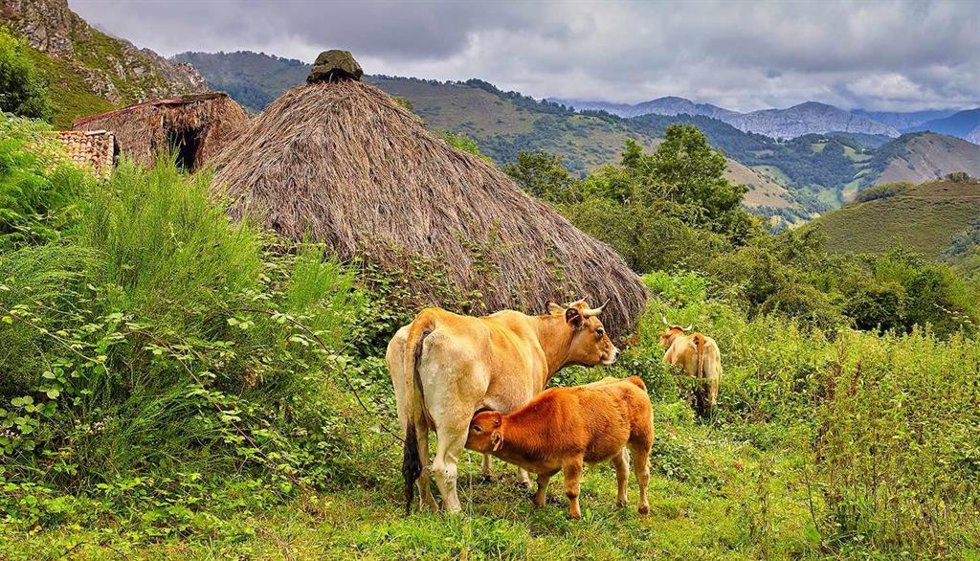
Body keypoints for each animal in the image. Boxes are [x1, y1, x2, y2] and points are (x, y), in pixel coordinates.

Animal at [389, 300, 619, 514]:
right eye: (600, 330)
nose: (616, 352)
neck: (539, 338)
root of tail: (431, 315)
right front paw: (524, 480)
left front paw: (487, 473)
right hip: (455, 420)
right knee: (443, 467)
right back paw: (455, 511)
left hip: (411, 415)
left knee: (421, 462)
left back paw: (429, 506)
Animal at [465, 376, 653, 519]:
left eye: (477, 428)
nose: (463, 437)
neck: (548, 419)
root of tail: (630, 381)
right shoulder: (547, 460)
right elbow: (541, 482)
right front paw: (539, 503)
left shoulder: (573, 458)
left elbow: (571, 490)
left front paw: (574, 515)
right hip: (617, 446)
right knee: (623, 471)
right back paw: (620, 503)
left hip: (643, 441)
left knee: (642, 475)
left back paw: (643, 508)